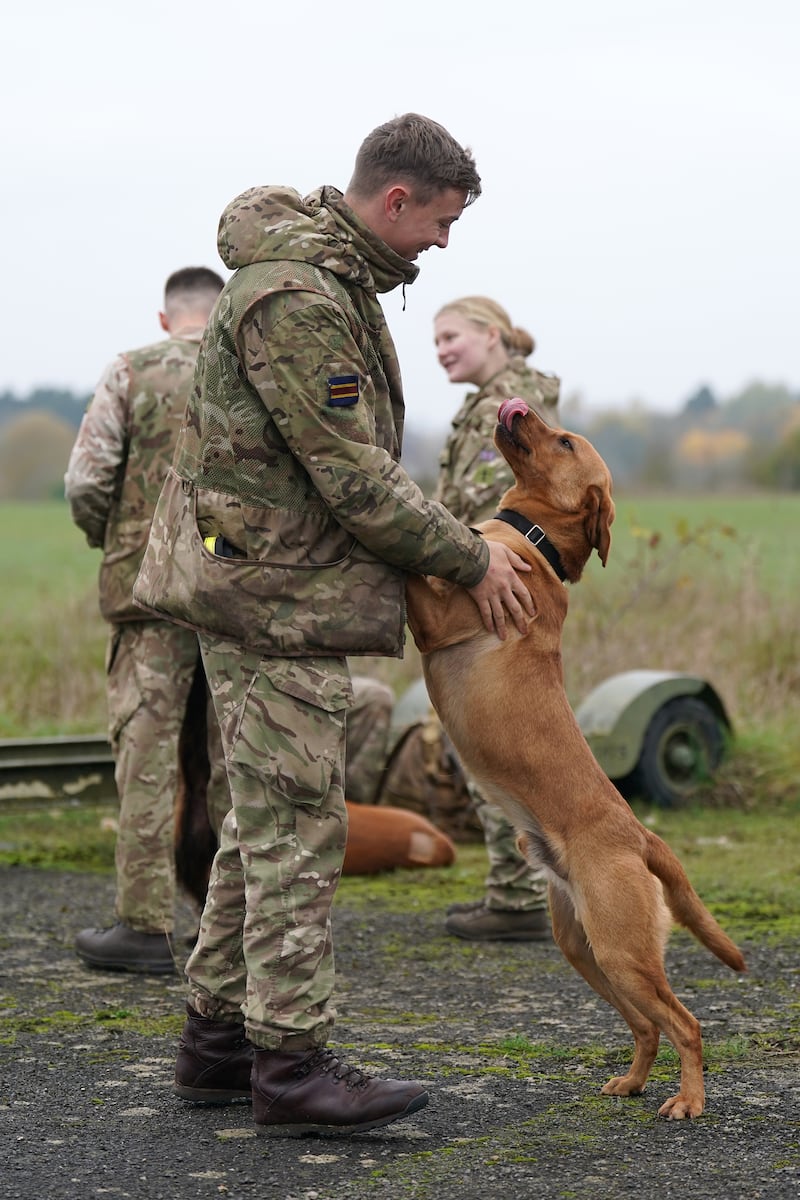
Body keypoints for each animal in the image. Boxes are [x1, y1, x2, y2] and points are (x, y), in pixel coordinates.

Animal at [410, 398, 748, 1118]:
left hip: (621, 951)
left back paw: (687, 1101)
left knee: (685, 1024)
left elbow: (414, 563)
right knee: (648, 1026)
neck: (530, 539)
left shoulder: (434, 615)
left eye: (563, 440)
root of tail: (641, 834)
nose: (515, 409)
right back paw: (633, 1082)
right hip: (585, 948)